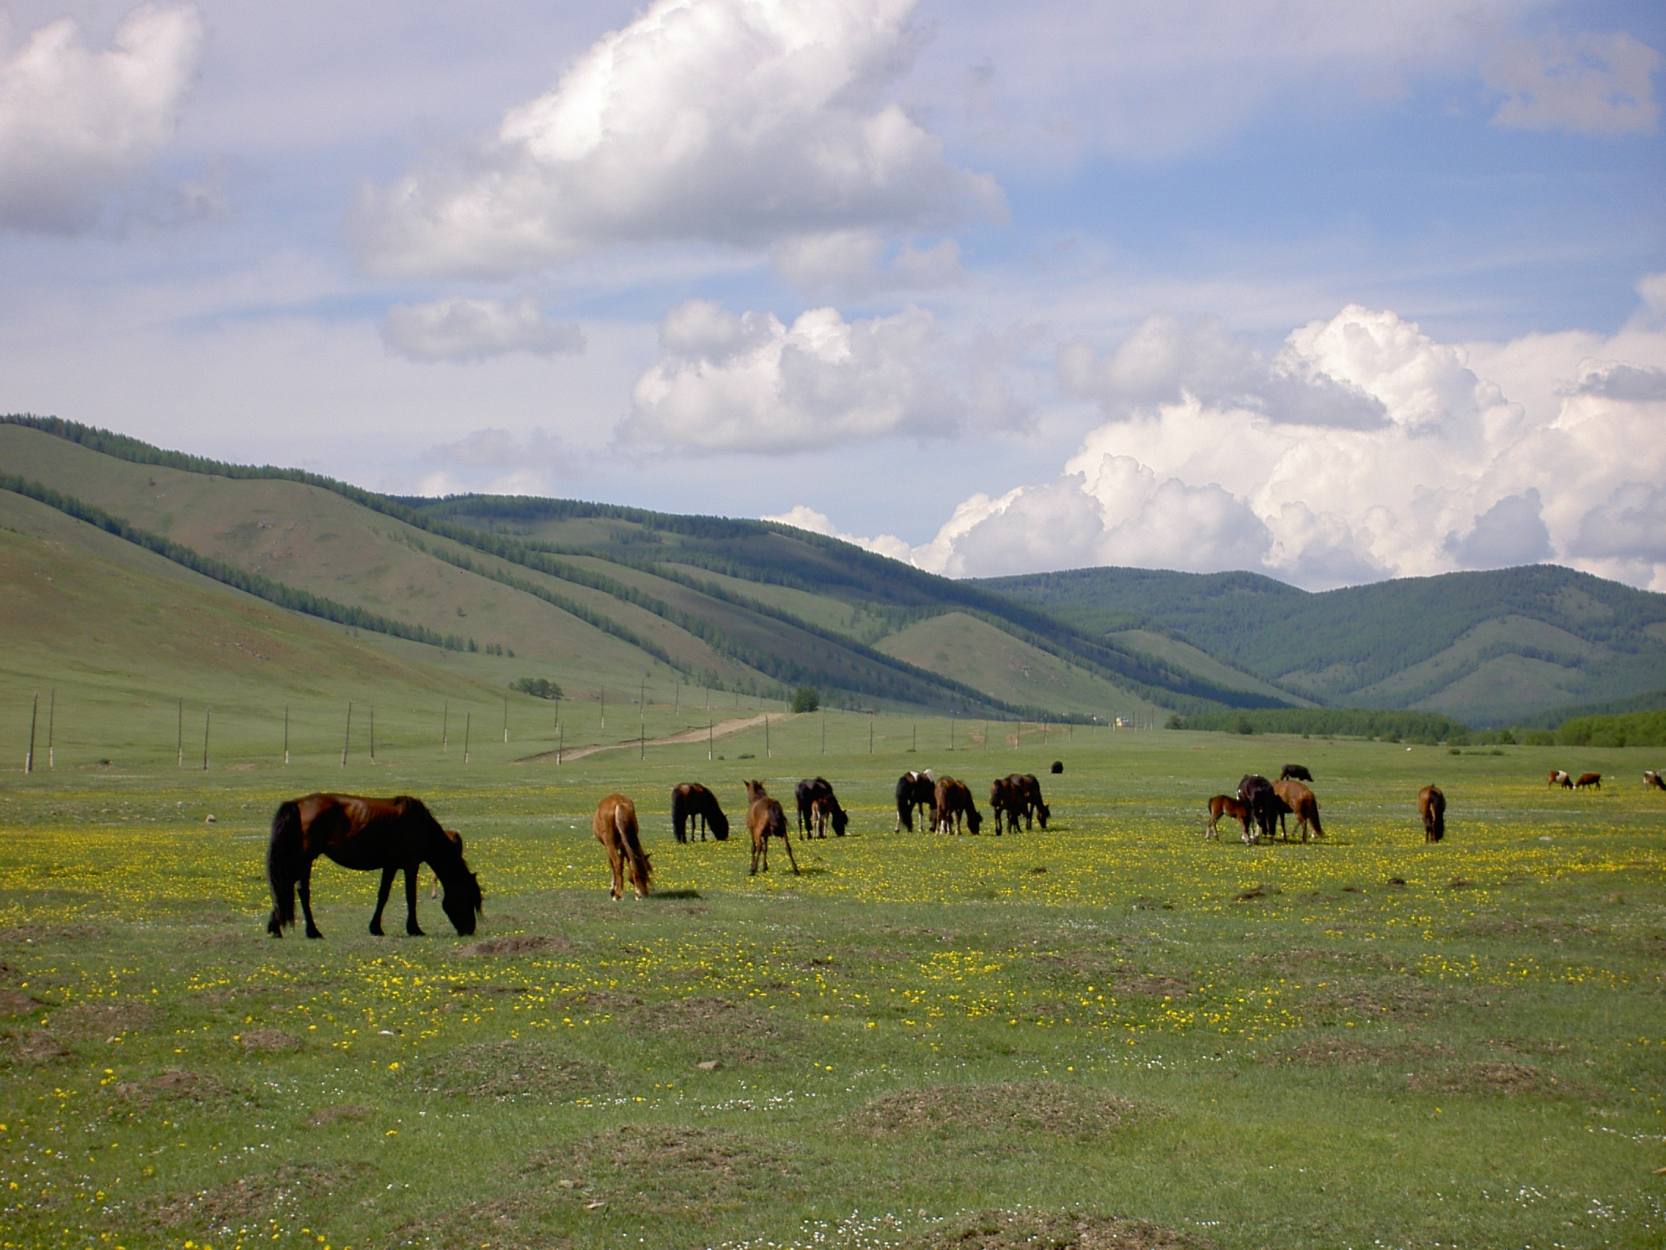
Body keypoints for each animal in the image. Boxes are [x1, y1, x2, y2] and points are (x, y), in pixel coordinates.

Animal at [263, 793, 479, 940]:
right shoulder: (410, 865)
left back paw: (279, 928)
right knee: (297, 889)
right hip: (306, 859)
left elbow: (383, 895)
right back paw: (310, 931)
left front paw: (376, 928)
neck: (420, 826)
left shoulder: (391, 866)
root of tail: (298, 804)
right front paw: (415, 929)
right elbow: (410, 896)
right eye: (466, 896)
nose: (469, 930)